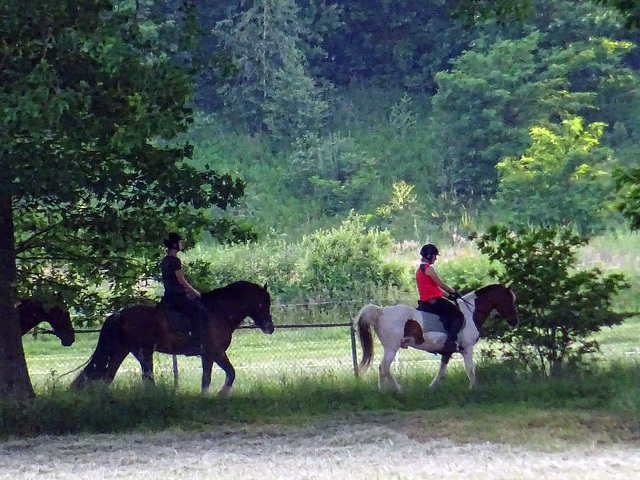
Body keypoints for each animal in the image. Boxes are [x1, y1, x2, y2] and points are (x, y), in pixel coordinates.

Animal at [70, 280, 276, 396]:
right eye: (264, 303)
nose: (270, 327)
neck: (219, 311)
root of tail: (120, 314)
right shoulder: (211, 353)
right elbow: (209, 377)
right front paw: (210, 397)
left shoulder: (216, 354)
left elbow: (230, 373)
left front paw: (220, 395)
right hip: (143, 352)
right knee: (145, 377)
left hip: (123, 350)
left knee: (109, 376)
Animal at [352, 284, 516, 392]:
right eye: (509, 300)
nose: (515, 321)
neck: (470, 313)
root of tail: (380, 312)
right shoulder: (467, 348)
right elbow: (470, 369)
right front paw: (472, 389)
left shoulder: (448, 351)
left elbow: (441, 371)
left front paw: (432, 387)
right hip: (392, 348)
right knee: (384, 367)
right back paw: (396, 389)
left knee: (383, 369)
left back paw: (383, 390)